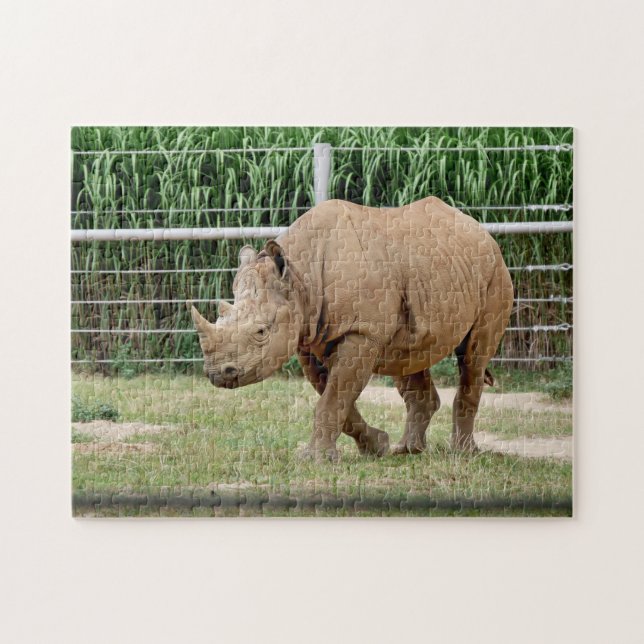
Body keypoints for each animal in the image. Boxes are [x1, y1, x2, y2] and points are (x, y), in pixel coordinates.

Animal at [190, 196, 513, 461]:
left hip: (495, 272)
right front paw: (377, 446)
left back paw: (462, 453)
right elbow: (335, 399)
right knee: (410, 357)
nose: (217, 374)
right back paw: (407, 450)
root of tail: (480, 229)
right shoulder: (309, 336)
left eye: (260, 332)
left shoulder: (361, 332)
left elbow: (333, 398)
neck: (300, 277)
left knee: (473, 358)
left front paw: (315, 460)